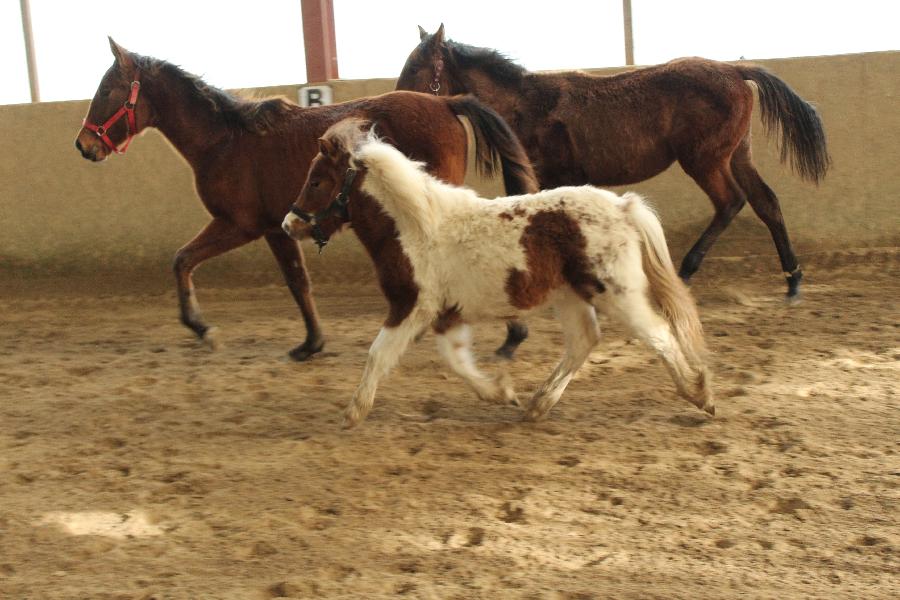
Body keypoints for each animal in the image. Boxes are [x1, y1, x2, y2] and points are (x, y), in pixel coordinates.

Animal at [75, 39, 536, 358]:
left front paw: (203, 328)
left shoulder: (240, 225)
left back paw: (508, 332)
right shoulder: (275, 228)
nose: (83, 145)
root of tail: (446, 102)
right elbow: (296, 280)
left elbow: (185, 260)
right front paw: (312, 341)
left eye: (107, 90)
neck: (225, 141)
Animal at [284, 118, 712, 426]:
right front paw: (501, 393)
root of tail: (624, 207)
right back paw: (538, 405)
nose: (290, 224)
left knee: (659, 335)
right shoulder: (446, 315)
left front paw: (353, 413)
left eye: (317, 181)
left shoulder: (410, 307)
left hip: (617, 294)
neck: (414, 228)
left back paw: (701, 396)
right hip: (571, 297)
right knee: (583, 342)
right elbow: (456, 360)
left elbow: (378, 354)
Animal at [398, 25, 832, 302]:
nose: (396, 98)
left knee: (731, 202)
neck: (526, 104)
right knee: (766, 202)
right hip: (737, 155)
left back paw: (685, 271)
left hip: (705, 160)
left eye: (417, 66)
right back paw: (793, 280)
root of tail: (735, 70)